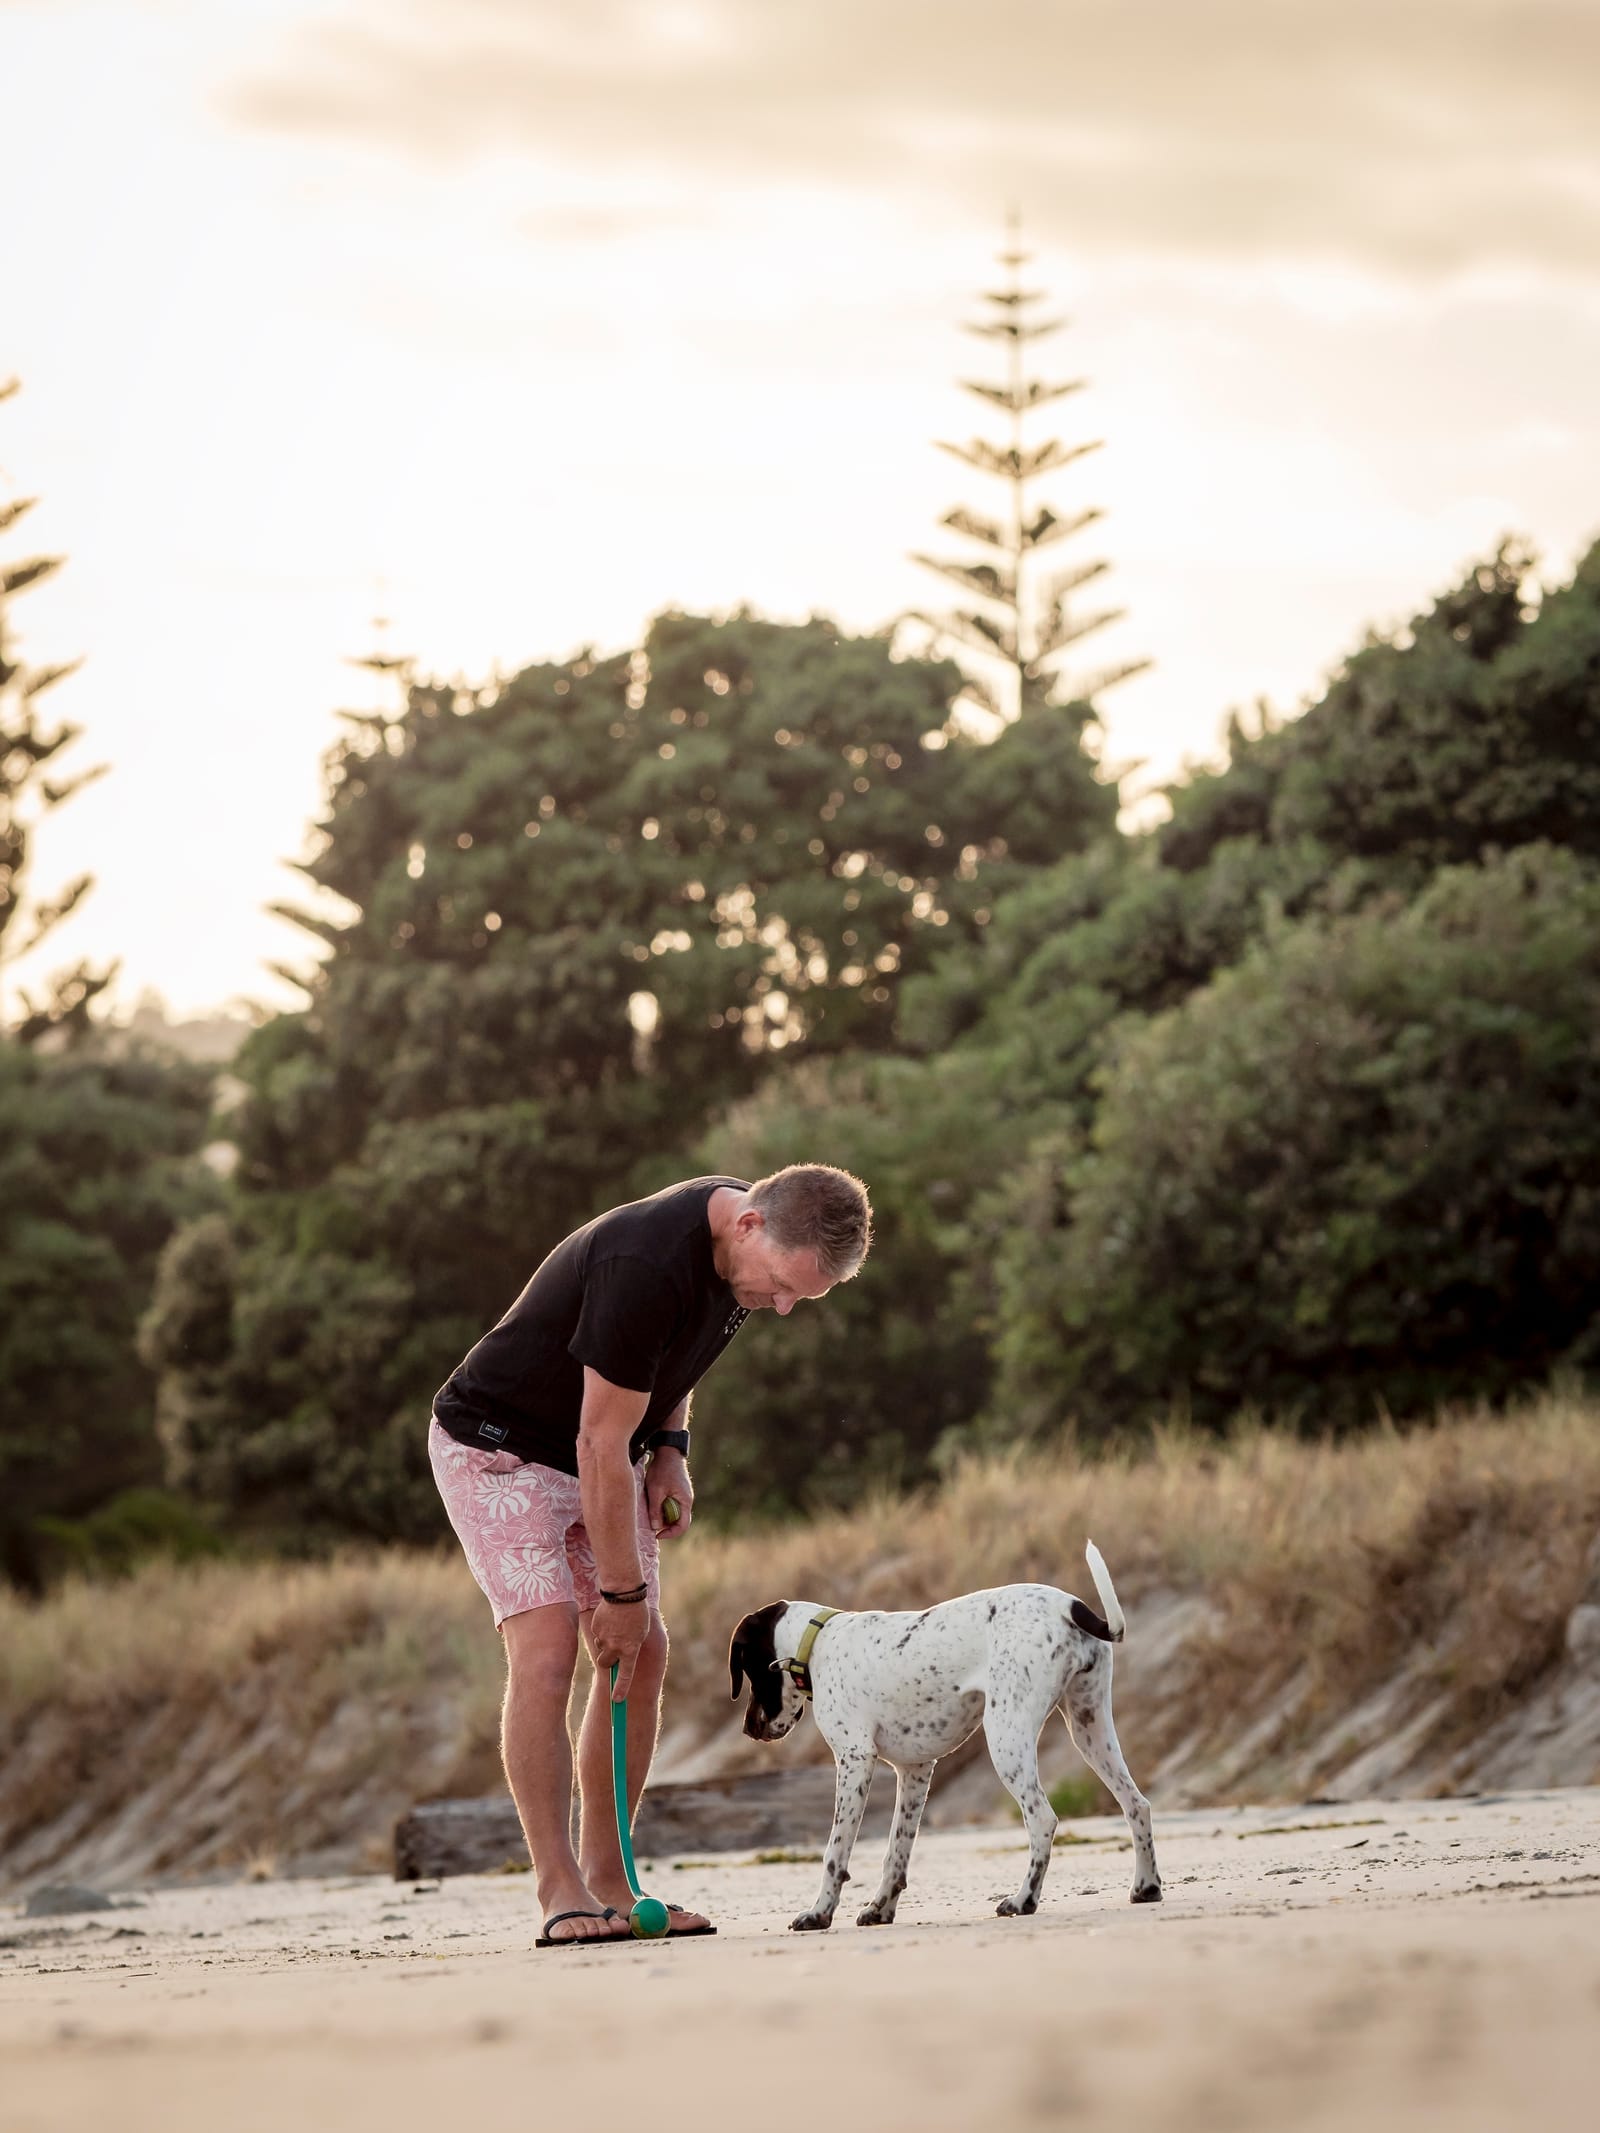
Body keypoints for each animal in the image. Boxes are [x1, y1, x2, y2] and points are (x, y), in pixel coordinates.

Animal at [729, 1544, 1169, 1928]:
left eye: (747, 1670)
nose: (748, 1728)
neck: (817, 1642)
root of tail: (1069, 1605)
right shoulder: (915, 1771)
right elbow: (896, 1853)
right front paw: (880, 1908)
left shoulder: (854, 1761)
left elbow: (835, 1854)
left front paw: (819, 1913)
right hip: (1089, 1729)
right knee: (1137, 1804)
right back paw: (1146, 1886)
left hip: (1006, 1738)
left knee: (1043, 1819)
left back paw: (1023, 1899)